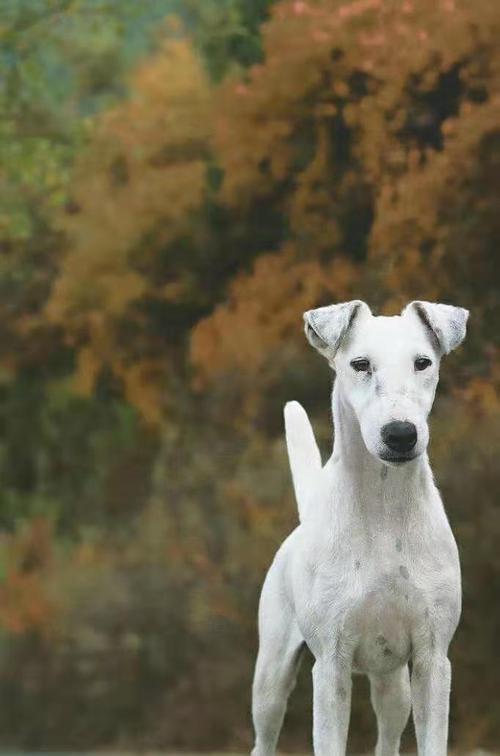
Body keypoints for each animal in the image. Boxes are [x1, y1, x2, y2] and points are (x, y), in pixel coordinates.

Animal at [254, 300, 468, 756]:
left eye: (423, 362)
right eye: (360, 364)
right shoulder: (330, 666)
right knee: (264, 734)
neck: (384, 508)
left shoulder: (432, 659)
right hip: (271, 677)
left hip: (394, 684)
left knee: (388, 734)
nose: (401, 433)